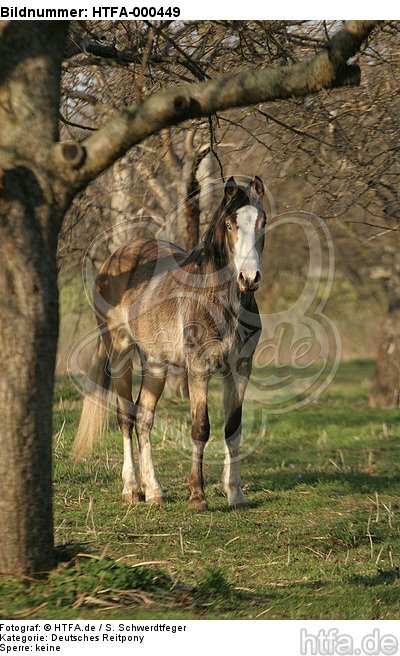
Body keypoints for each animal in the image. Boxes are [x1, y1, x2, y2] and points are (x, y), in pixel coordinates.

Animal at [72, 175, 267, 510]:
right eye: (230, 224)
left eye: (261, 222)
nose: (249, 277)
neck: (221, 301)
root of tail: (115, 259)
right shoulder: (199, 368)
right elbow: (201, 427)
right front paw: (198, 496)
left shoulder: (240, 368)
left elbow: (233, 428)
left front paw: (236, 494)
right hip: (120, 354)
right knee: (126, 417)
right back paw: (131, 489)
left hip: (155, 365)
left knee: (144, 419)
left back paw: (154, 491)